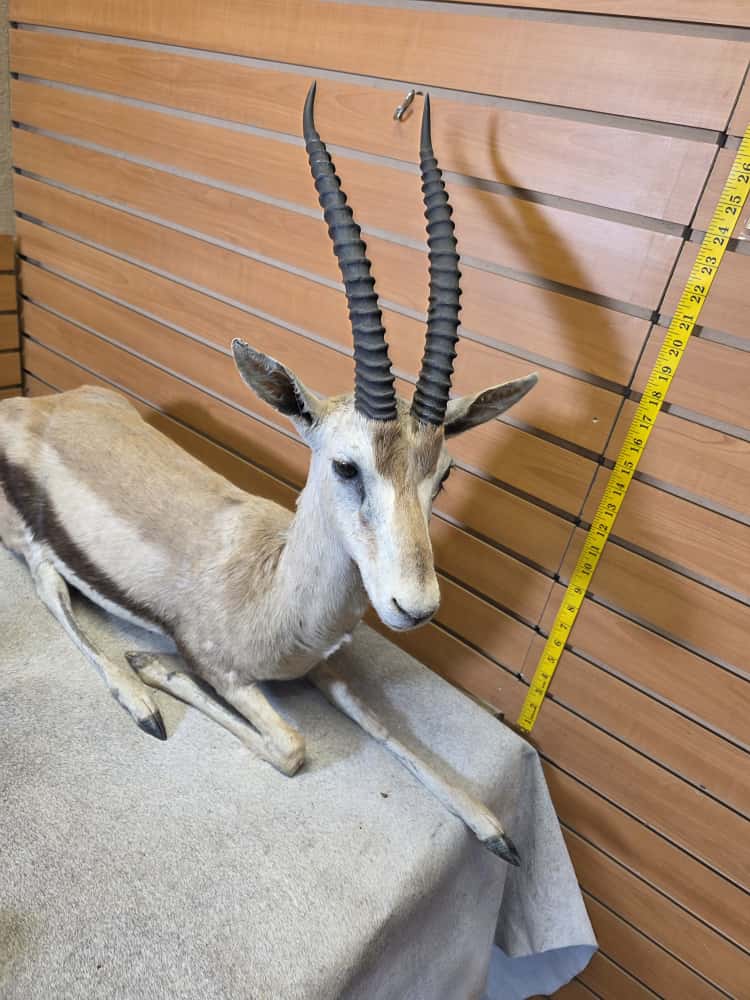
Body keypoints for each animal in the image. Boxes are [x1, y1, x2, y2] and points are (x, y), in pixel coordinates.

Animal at [1, 84, 537, 864]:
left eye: (442, 476)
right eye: (346, 464)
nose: (414, 606)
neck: (273, 588)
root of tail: (30, 408)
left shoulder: (330, 663)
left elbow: (392, 729)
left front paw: (491, 824)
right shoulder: (225, 669)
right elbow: (291, 747)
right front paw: (157, 670)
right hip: (25, 543)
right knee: (51, 588)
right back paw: (140, 701)